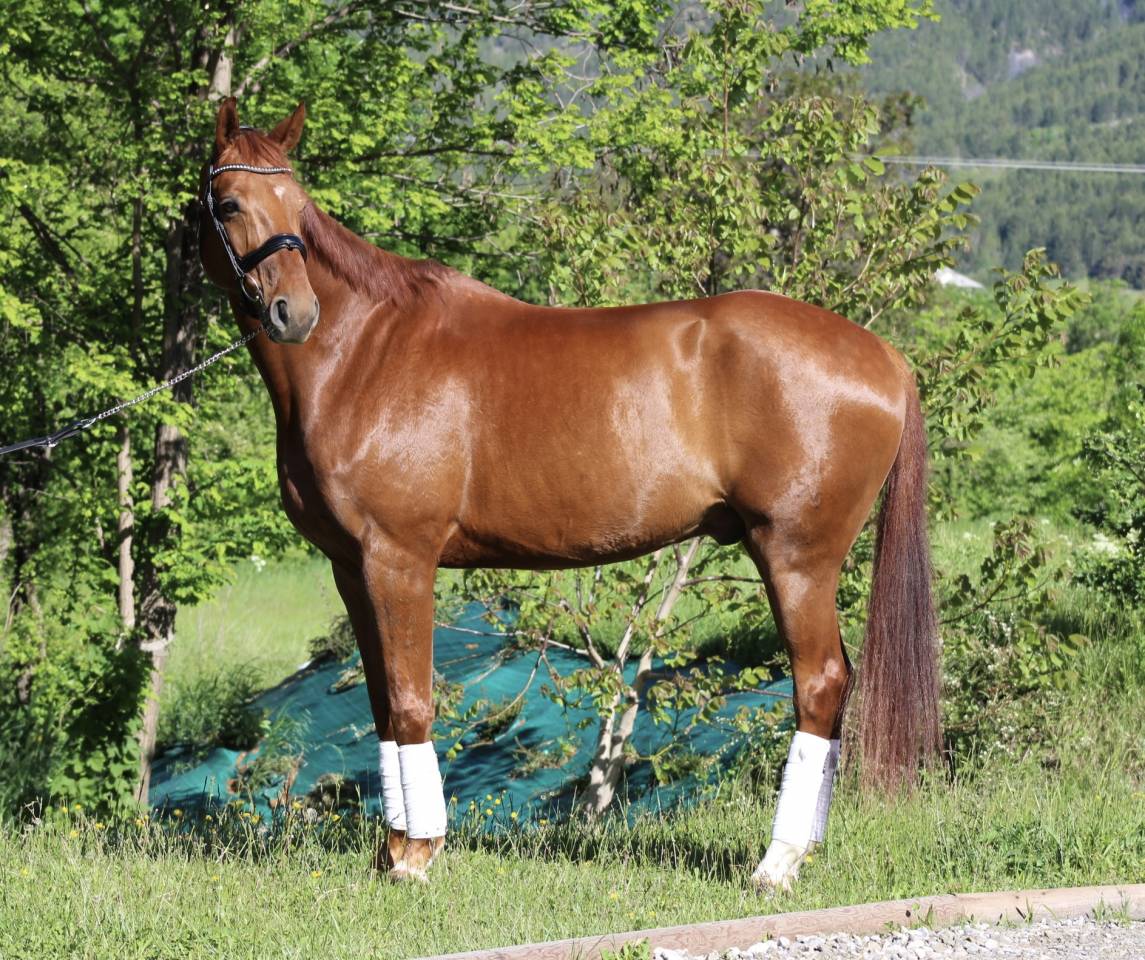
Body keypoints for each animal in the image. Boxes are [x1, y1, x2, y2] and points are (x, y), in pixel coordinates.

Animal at [198, 98, 940, 890]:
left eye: (297, 204)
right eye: (230, 202)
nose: (293, 313)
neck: (364, 352)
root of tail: (886, 358)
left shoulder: (398, 559)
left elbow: (410, 702)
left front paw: (417, 857)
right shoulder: (350, 567)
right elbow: (382, 706)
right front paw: (392, 849)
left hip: (797, 557)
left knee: (820, 683)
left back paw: (777, 862)